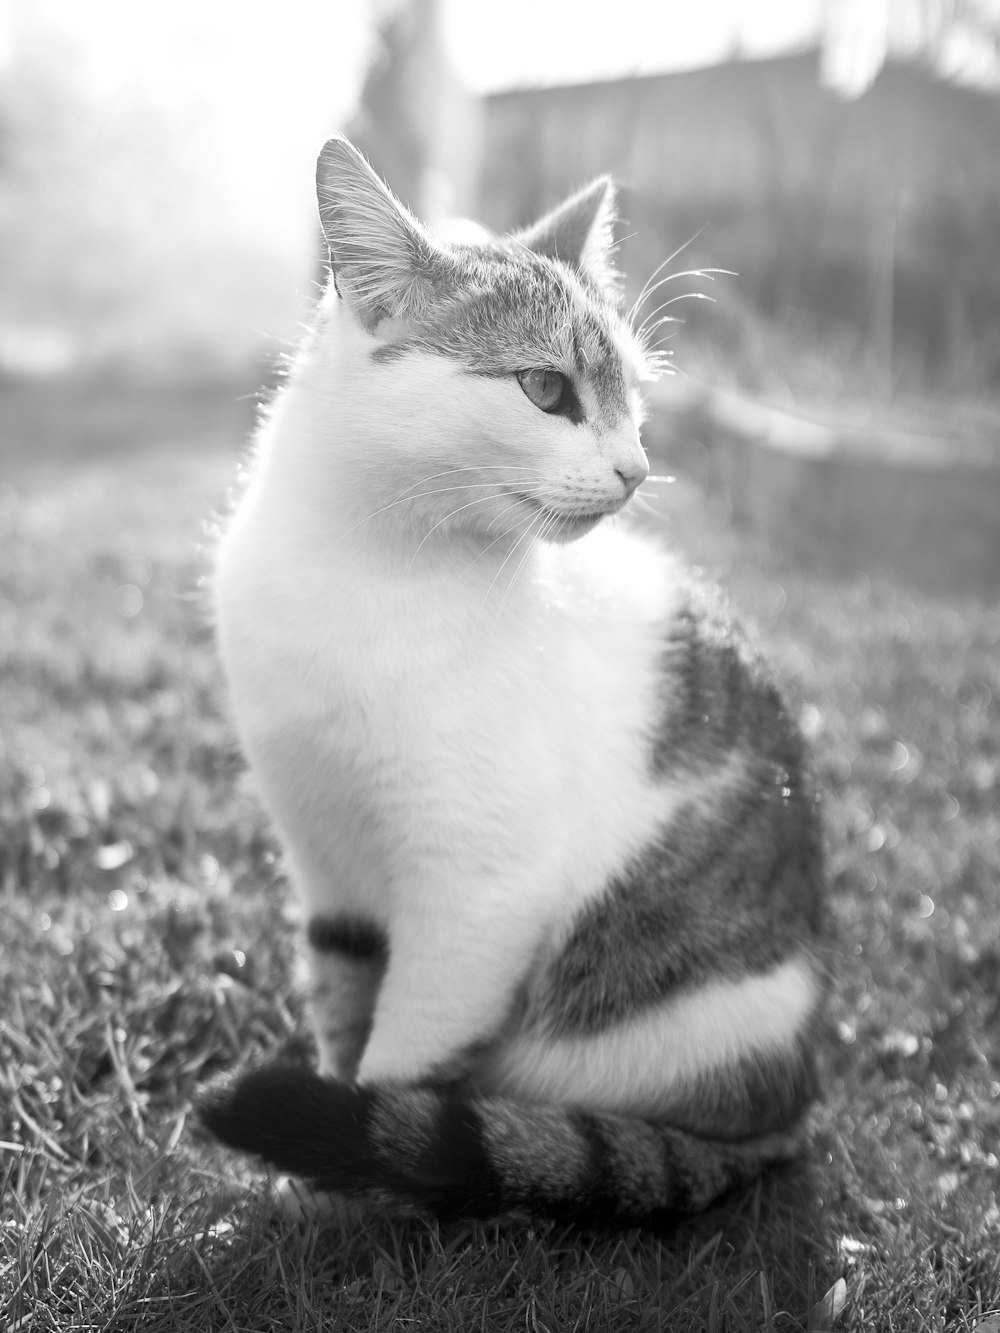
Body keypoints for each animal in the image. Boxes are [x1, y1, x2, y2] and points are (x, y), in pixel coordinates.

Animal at [204, 137, 832, 1226]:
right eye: (546, 389)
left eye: (633, 396)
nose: (636, 468)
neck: (366, 568)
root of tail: (785, 1110)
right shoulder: (322, 855)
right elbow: (342, 999)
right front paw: (327, 1168)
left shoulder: (480, 892)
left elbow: (402, 1065)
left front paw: (360, 1181)